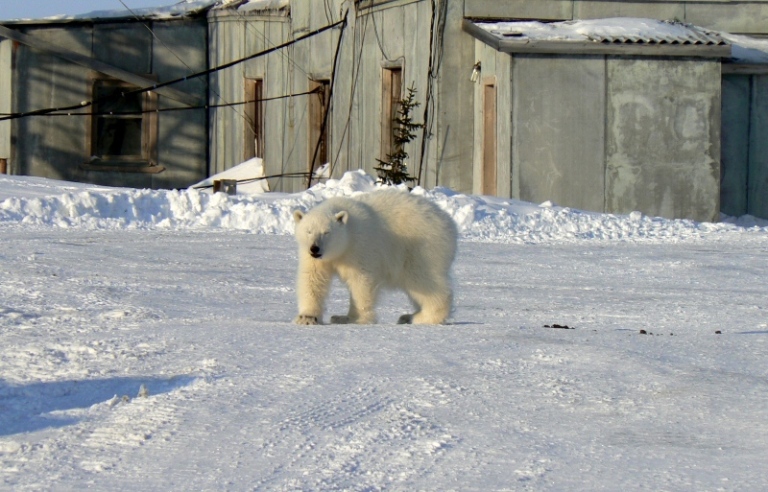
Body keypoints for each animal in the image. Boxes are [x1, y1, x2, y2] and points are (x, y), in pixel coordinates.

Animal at [292, 190, 456, 324]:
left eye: (327, 232)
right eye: (308, 231)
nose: (315, 248)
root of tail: (449, 224)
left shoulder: (360, 246)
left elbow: (361, 281)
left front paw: (352, 318)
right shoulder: (312, 257)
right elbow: (312, 278)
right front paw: (307, 318)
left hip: (420, 248)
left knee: (423, 281)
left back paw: (422, 317)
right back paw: (408, 315)